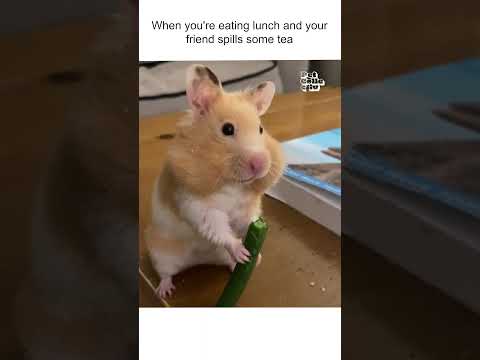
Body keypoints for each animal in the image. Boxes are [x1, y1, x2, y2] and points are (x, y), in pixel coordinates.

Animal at [144, 64, 284, 298]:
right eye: (227, 129)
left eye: (261, 129)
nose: (261, 163)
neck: (233, 182)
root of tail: (201, 261)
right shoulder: (196, 205)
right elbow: (217, 228)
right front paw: (242, 252)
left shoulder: (247, 208)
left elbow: (248, 220)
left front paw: (256, 255)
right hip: (160, 253)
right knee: (165, 273)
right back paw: (163, 292)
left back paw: (244, 263)